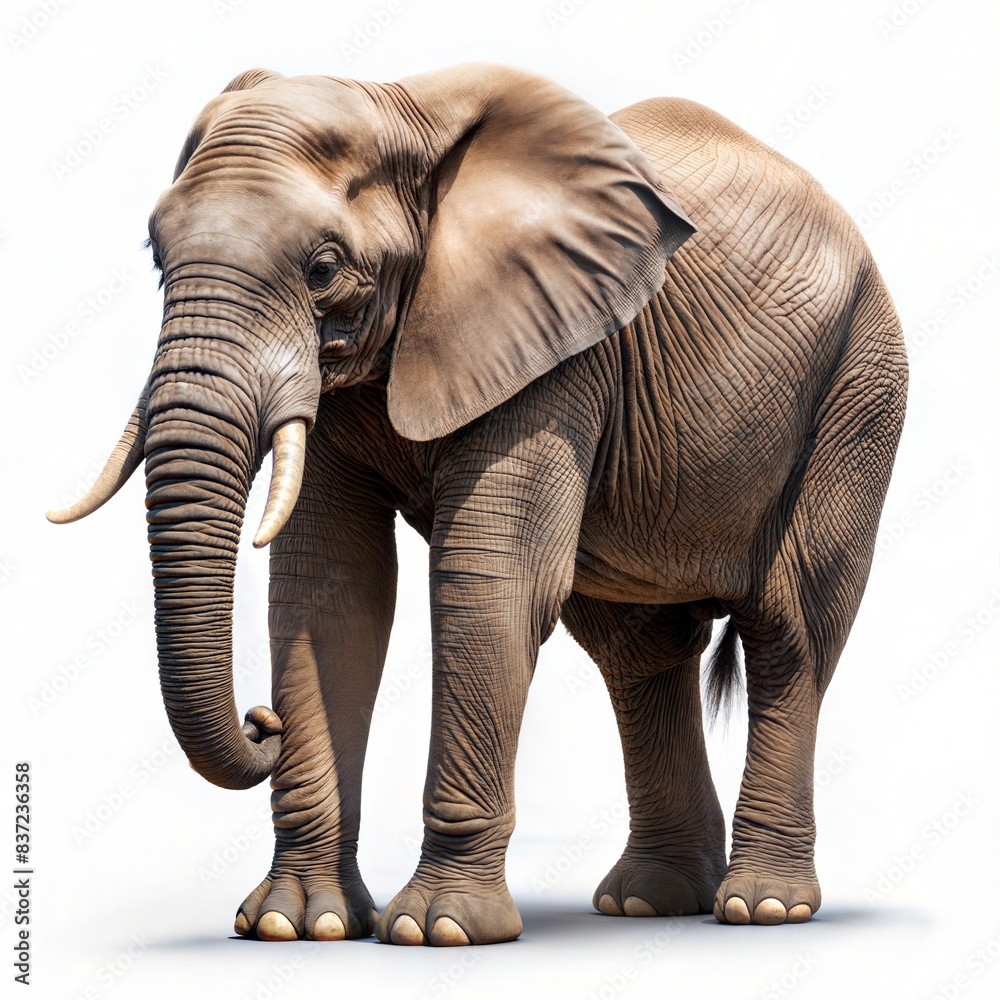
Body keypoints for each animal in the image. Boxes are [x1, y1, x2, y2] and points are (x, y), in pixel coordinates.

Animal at [48, 62, 907, 945]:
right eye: (157, 258)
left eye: (323, 269)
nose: (261, 723)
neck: (401, 110)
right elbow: (331, 595)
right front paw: (296, 924)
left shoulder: (558, 346)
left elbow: (491, 579)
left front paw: (438, 929)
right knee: (638, 648)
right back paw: (650, 900)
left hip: (860, 383)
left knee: (789, 628)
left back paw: (760, 907)